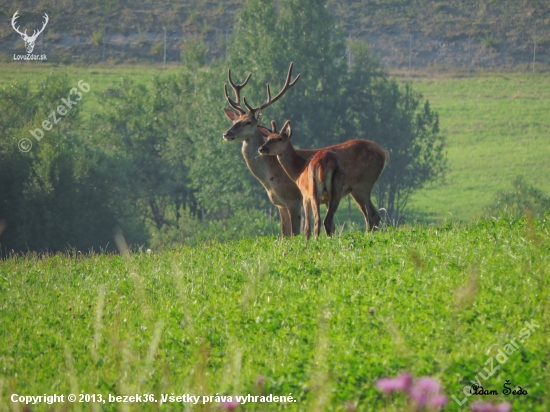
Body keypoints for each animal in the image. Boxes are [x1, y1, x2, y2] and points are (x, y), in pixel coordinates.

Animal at [222, 62, 390, 235]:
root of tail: (384, 152)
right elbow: (284, 234)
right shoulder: (280, 204)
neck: (269, 176)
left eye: (248, 122)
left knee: (372, 216)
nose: (227, 133)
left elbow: (295, 232)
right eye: (234, 121)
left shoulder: (294, 199)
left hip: (362, 184)